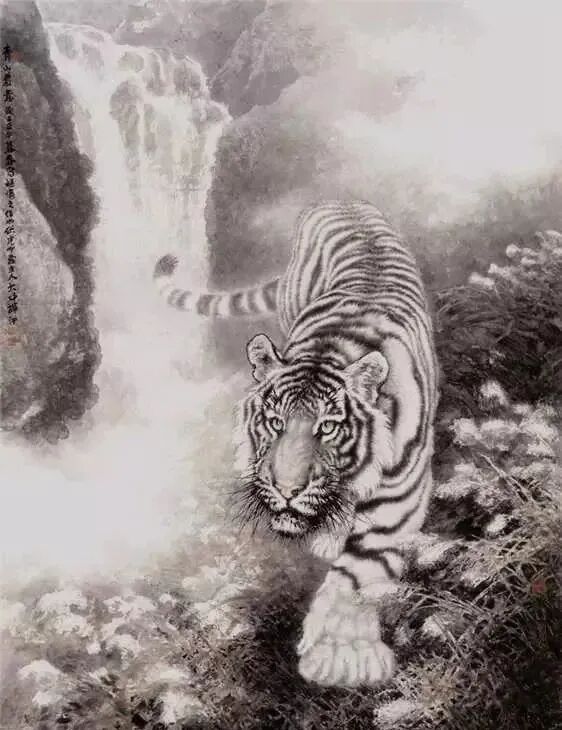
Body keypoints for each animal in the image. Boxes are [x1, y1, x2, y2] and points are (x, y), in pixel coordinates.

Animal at [154, 200, 439, 686]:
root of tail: (342, 201)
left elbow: (357, 575)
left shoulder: (402, 496)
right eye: (274, 423)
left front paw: (341, 657)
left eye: (327, 428)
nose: (286, 491)